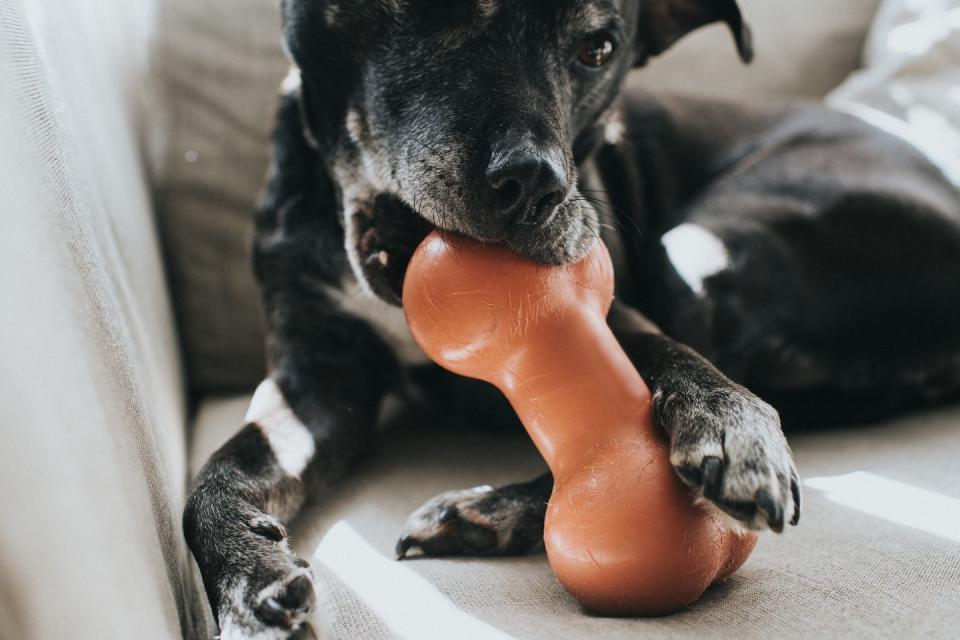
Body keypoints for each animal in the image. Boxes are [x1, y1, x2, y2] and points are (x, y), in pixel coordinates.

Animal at [184, 1, 960, 636]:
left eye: (599, 47)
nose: (535, 185)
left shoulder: (609, 308)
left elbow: (672, 361)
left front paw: (732, 425)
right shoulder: (315, 381)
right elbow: (213, 481)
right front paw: (251, 583)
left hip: (705, 241)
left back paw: (491, 510)